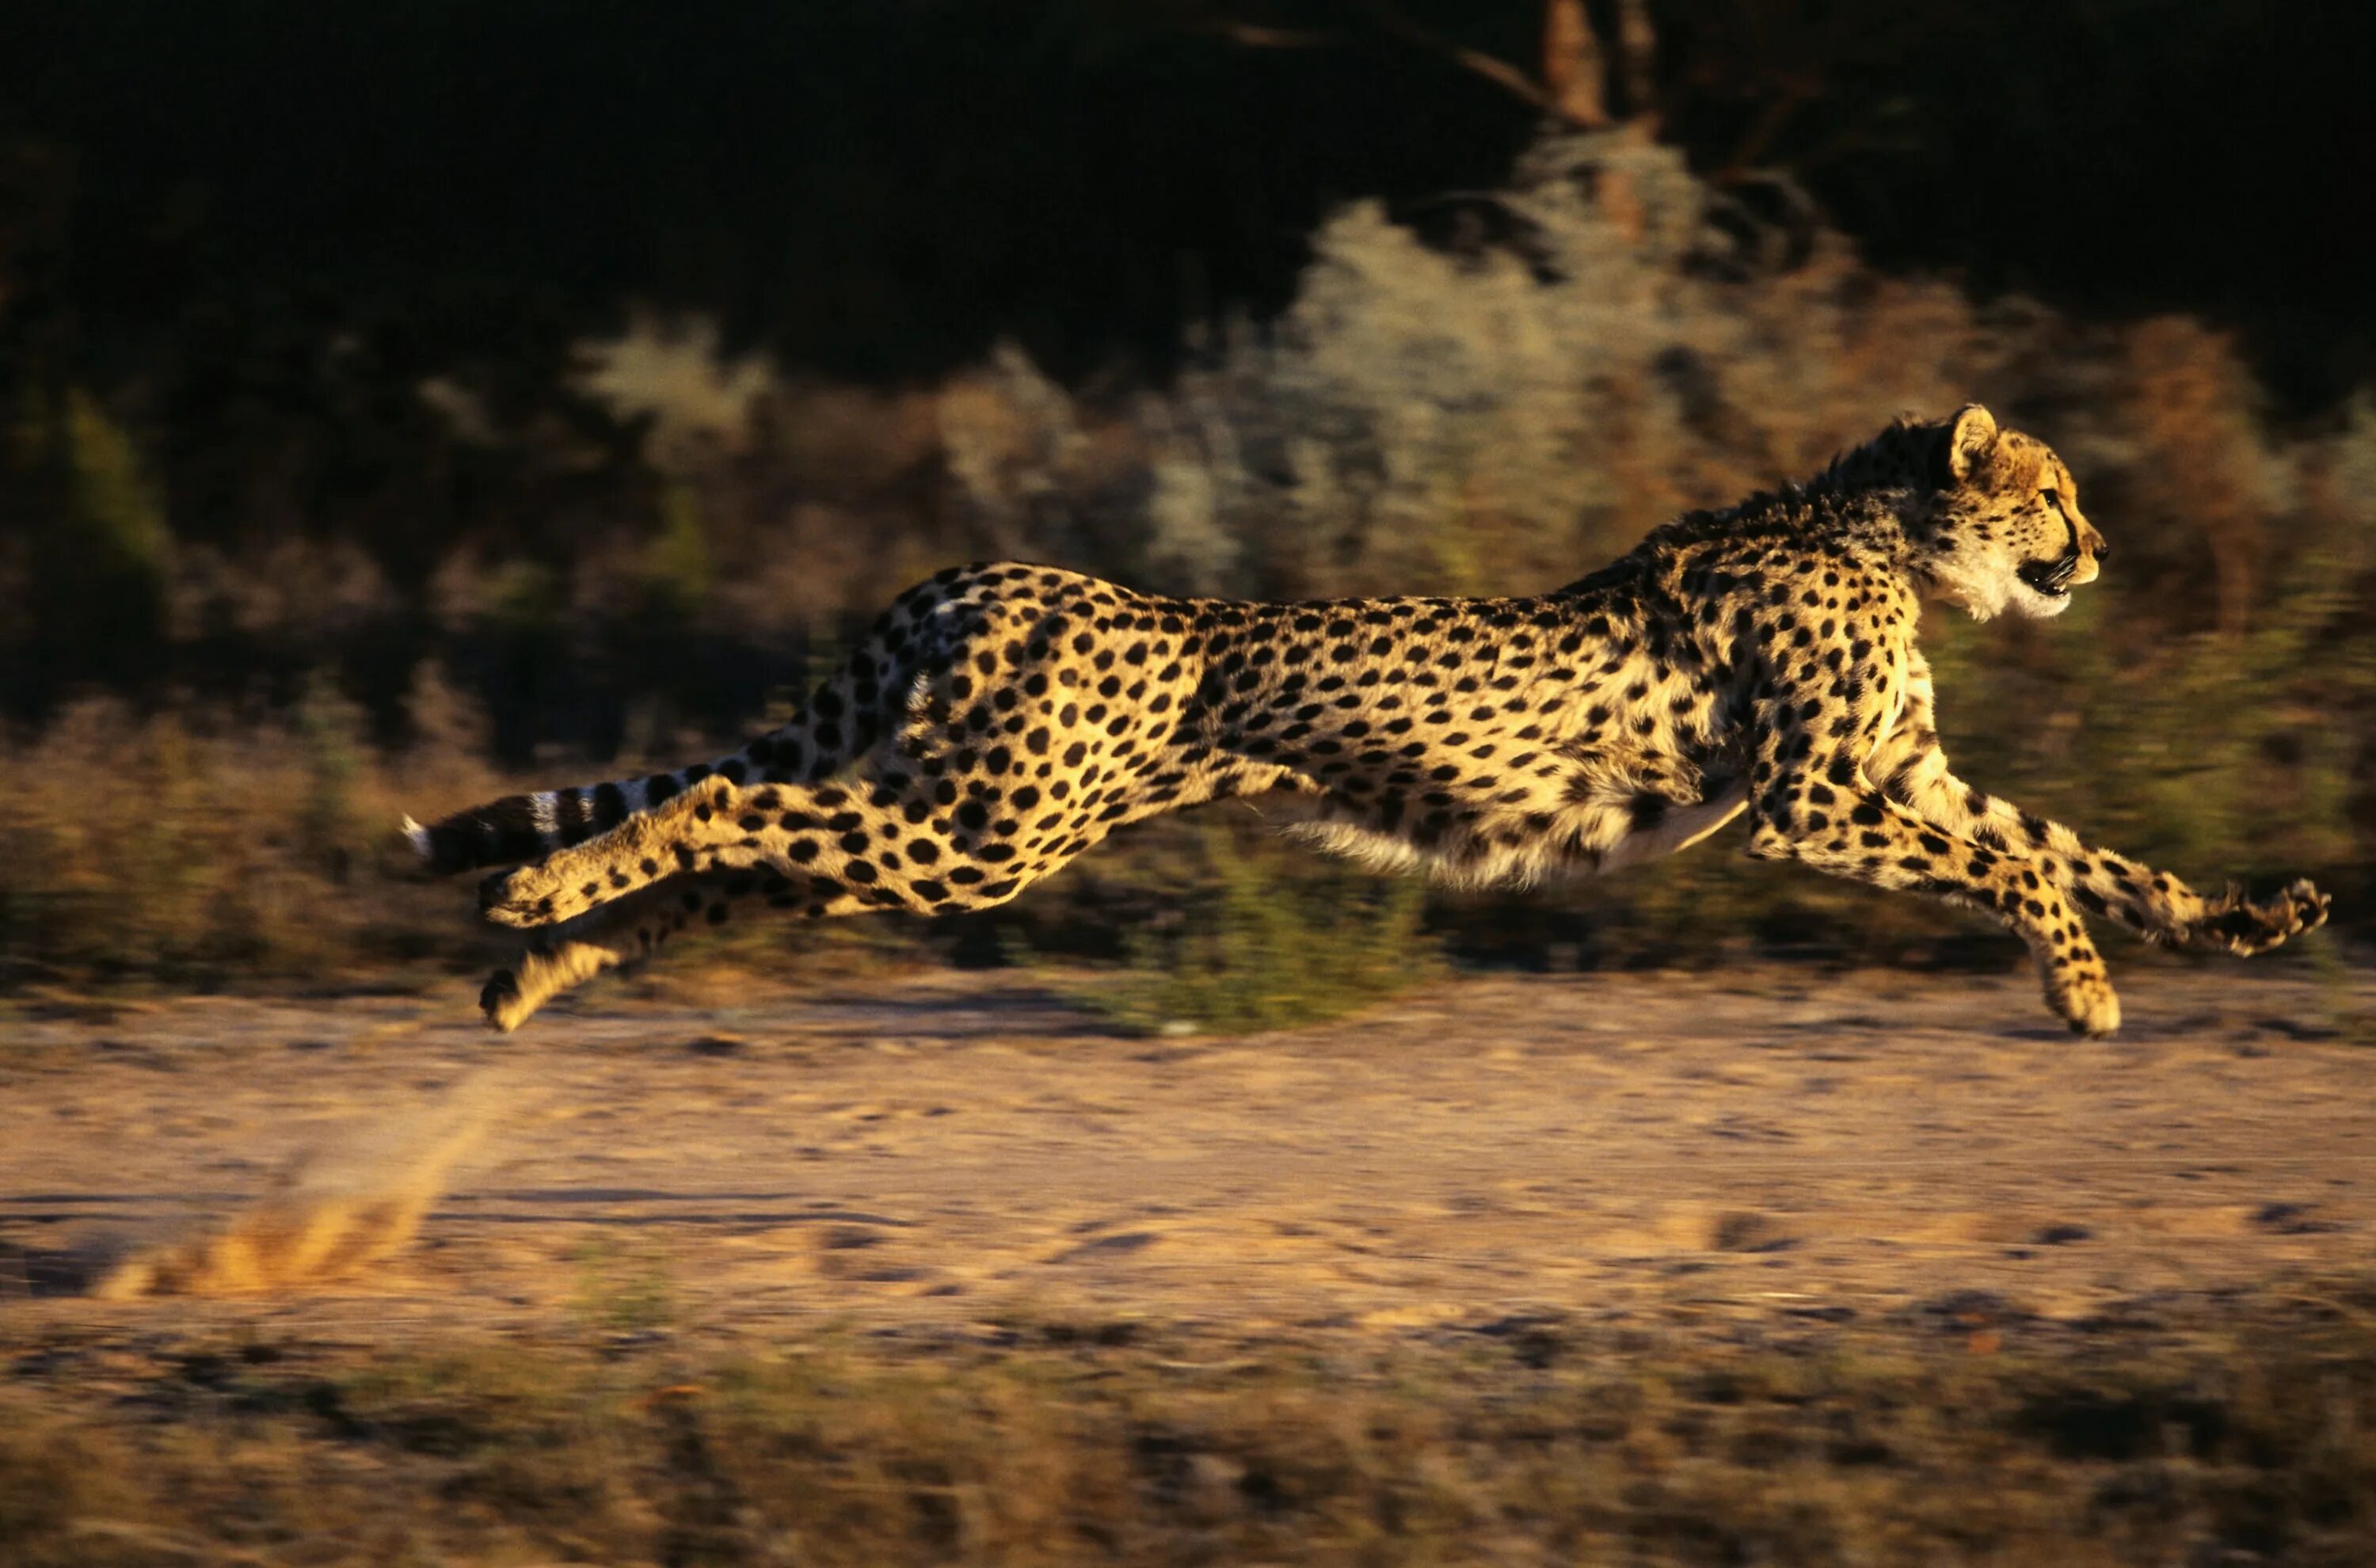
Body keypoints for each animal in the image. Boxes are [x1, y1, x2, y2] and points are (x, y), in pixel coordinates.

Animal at [404, 411, 2319, 1036]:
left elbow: (2080, 850)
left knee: (742, 855)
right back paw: (530, 898)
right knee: (726, 808)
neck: (1880, 532)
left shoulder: (1904, 778)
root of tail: (992, 569)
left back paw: (532, 968)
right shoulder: (1813, 804)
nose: (2098, 552)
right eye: (2052, 492)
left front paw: (2244, 916)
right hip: (984, 834)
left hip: (951, 823)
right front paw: (2083, 992)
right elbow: (2038, 874)